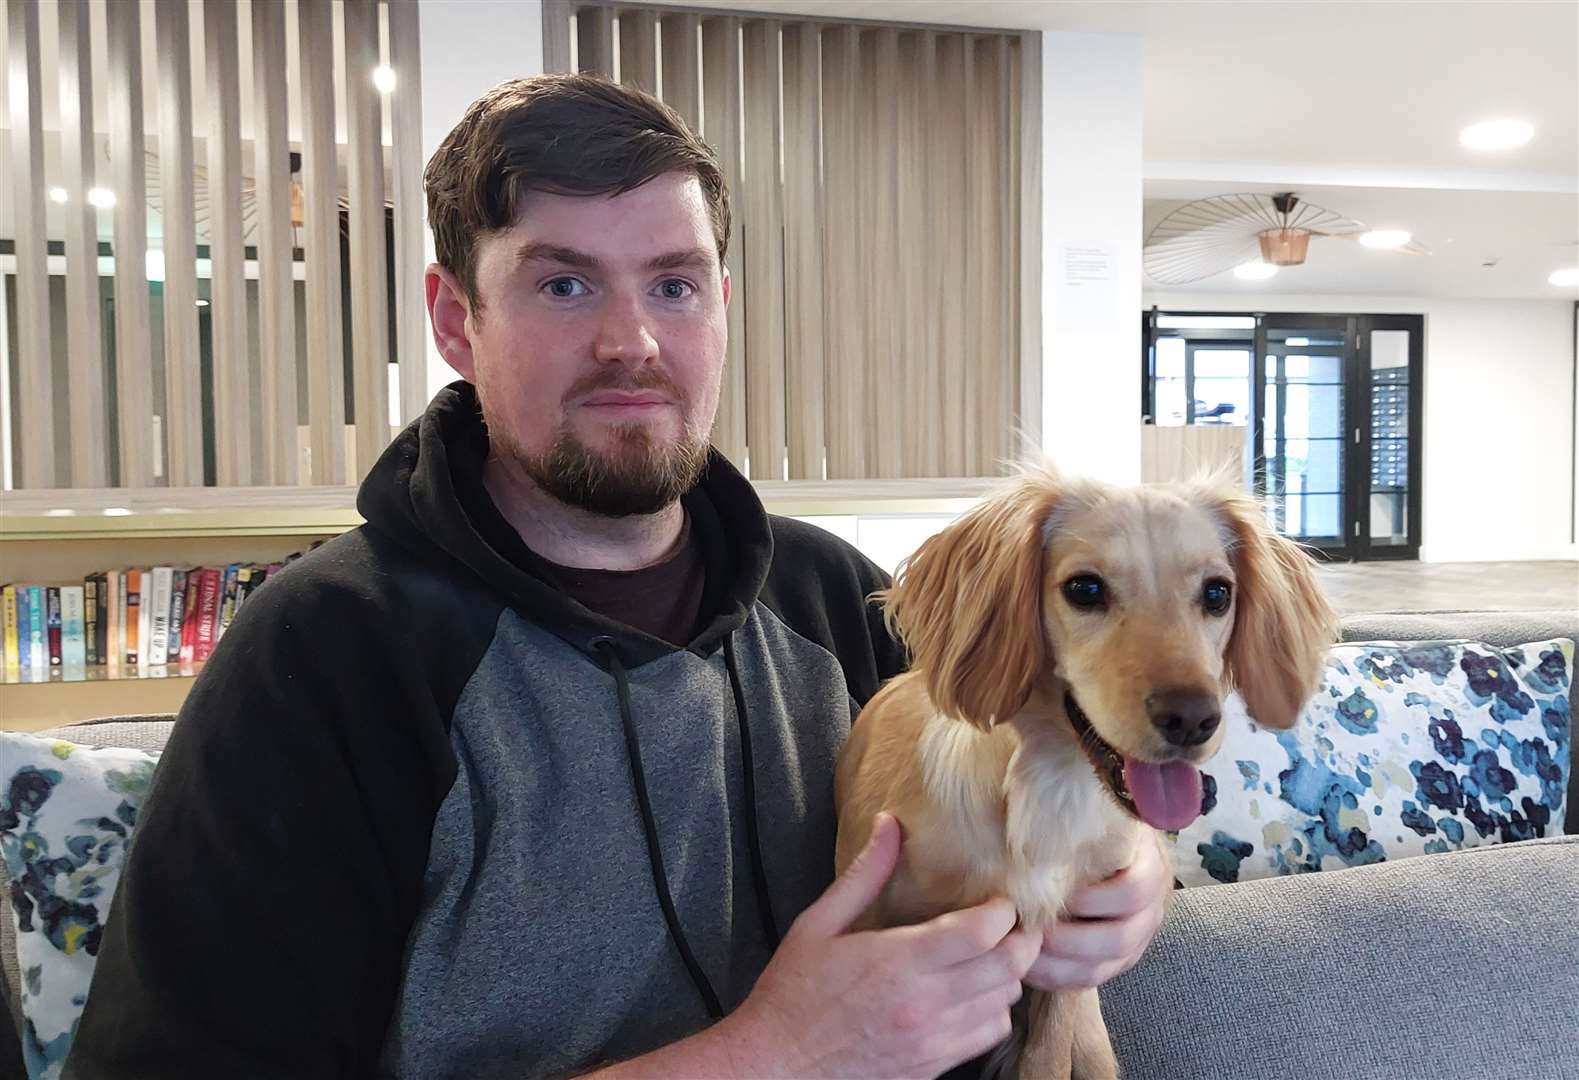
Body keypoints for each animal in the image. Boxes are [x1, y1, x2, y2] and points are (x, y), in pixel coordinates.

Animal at [833, 464, 1338, 1080]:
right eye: (1085, 589)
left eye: (1218, 593)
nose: (1194, 720)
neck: (1047, 788)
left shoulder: (1068, 962)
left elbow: (1046, 1060)